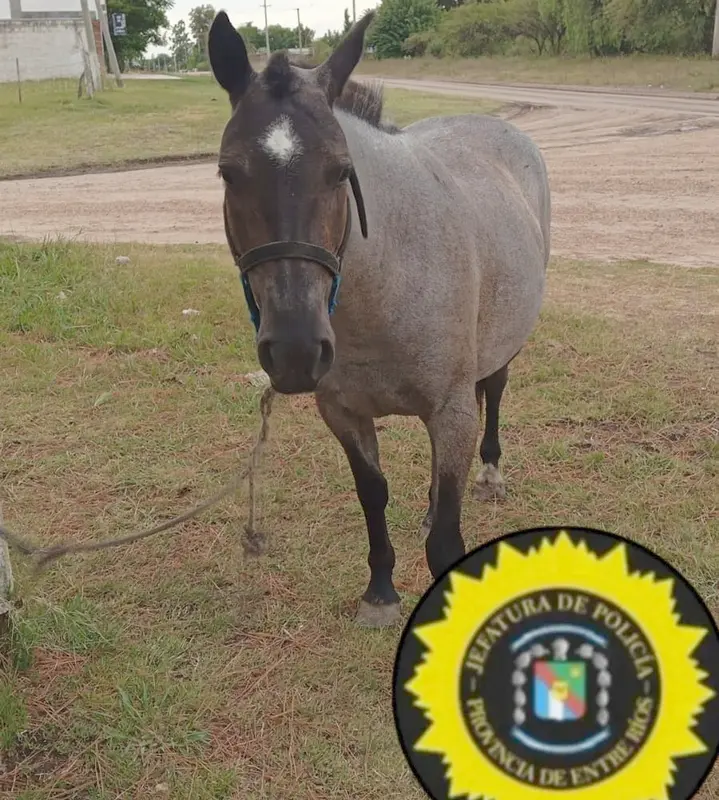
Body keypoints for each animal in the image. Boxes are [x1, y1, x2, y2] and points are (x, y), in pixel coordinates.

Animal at [207, 11, 551, 627]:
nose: (295, 351)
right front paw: (381, 592)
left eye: (340, 171)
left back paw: (489, 473)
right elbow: (374, 494)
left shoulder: (451, 410)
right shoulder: (343, 413)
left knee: (494, 391)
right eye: (228, 173)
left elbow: (446, 539)